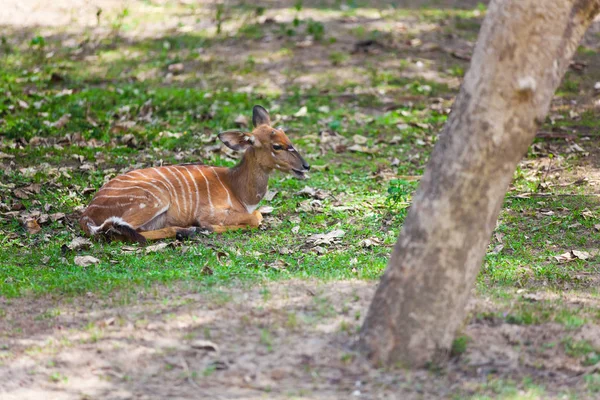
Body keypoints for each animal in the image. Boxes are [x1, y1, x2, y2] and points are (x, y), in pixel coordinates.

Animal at [79, 105, 310, 244]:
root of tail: (87, 215)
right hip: (153, 199)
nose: (305, 166)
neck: (239, 191)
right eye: (277, 146)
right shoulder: (209, 212)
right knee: (114, 231)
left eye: (287, 137)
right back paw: (186, 231)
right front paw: (208, 228)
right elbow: (256, 217)